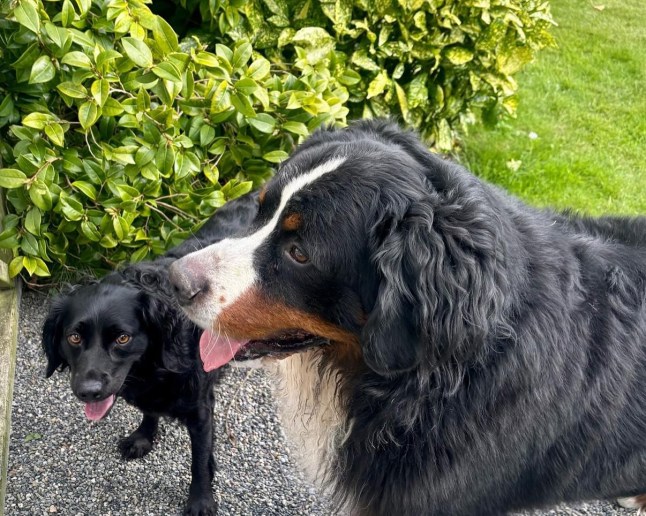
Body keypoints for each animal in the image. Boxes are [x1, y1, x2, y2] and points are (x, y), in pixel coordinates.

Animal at [41, 192, 258, 516]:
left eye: (122, 337)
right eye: (74, 337)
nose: (88, 392)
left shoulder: (201, 409)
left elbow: (199, 461)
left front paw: (200, 500)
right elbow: (149, 411)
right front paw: (143, 437)